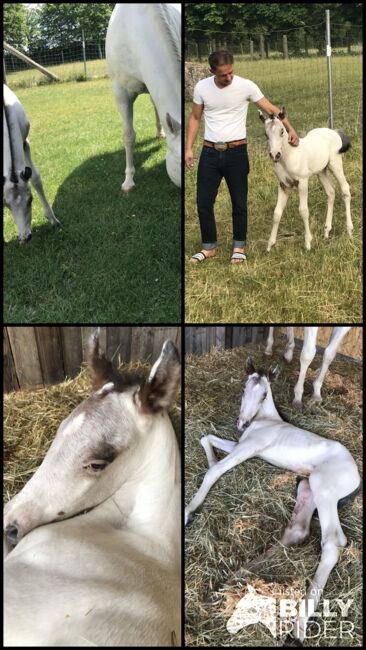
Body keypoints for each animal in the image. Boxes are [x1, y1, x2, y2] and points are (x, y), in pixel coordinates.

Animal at [3, 82, 60, 242]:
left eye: (30, 200)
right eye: (6, 204)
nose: (24, 238)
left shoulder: (25, 142)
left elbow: (35, 178)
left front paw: (54, 220)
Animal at [186, 356, 360, 640]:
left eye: (265, 394)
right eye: (244, 388)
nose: (242, 424)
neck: (266, 421)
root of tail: (356, 476)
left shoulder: (249, 447)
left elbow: (215, 470)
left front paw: (189, 512)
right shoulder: (241, 445)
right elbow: (206, 438)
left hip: (323, 488)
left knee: (333, 542)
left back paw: (298, 628)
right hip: (307, 486)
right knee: (298, 529)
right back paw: (234, 577)